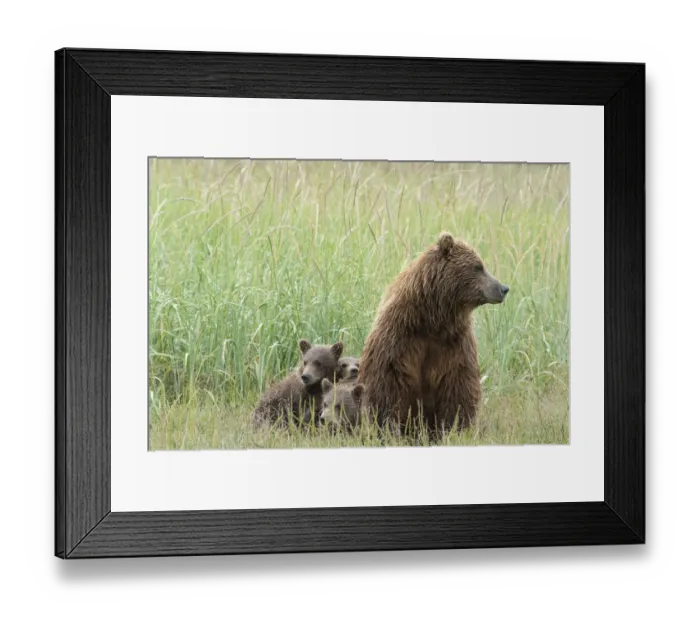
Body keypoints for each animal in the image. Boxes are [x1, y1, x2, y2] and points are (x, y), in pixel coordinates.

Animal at [357, 232, 509, 436]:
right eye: (478, 267)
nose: (503, 288)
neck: (433, 319)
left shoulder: (454, 342)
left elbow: (458, 385)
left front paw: (454, 428)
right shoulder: (400, 336)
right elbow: (388, 383)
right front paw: (388, 427)